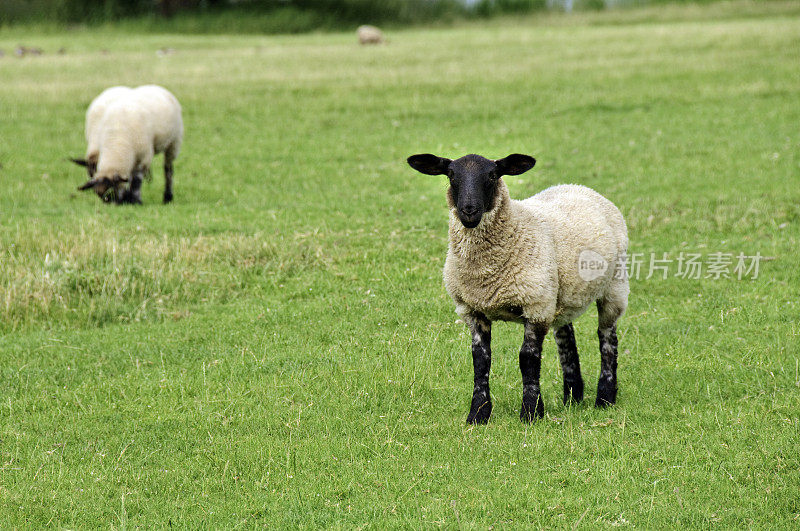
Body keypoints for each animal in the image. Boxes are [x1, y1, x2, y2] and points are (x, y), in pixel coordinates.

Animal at [410, 153, 628, 424]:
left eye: (492, 175)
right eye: (451, 175)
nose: (469, 210)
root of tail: (577, 186)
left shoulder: (536, 305)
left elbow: (528, 358)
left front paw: (531, 411)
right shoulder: (472, 309)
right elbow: (481, 360)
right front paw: (478, 413)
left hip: (614, 285)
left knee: (607, 337)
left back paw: (605, 397)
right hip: (560, 295)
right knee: (566, 338)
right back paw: (572, 396)